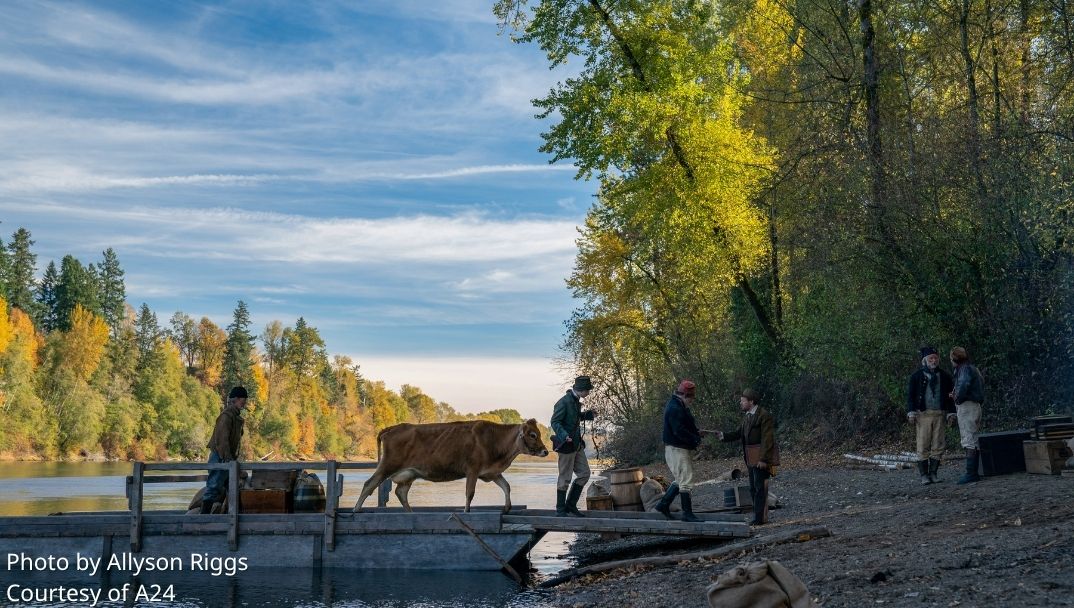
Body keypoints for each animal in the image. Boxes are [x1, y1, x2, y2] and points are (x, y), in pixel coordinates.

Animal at [353, 418, 549, 513]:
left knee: (401, 492)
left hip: (409, 474)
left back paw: (411, 513)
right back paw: (356, 510)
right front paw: (466, 511)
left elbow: (507, 487)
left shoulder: (491, 472)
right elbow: (470, 493)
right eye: (532, 434)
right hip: (388, 464)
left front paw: (507, 507)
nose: (546, 451)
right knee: (369, 484)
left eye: (538, 433)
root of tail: (392, 428)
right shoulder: (472, 469)